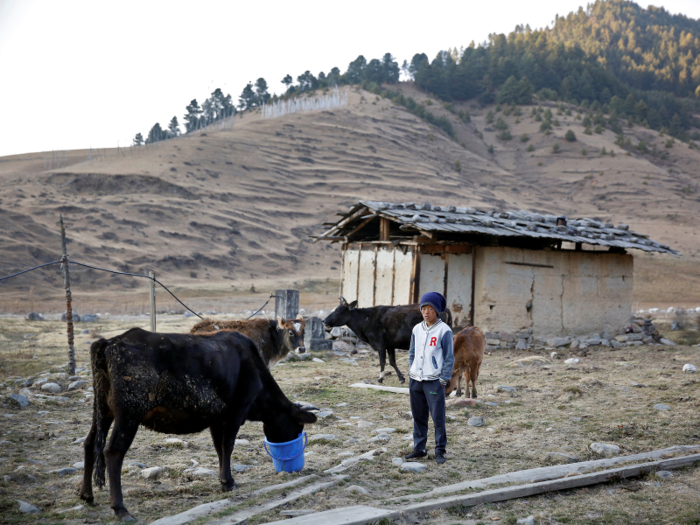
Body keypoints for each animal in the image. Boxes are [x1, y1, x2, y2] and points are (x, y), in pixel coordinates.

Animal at [79, 328, 318, 520]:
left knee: (90, 444)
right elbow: (228, 445)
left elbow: (219, 448)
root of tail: (108, 342)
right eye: (297, 427)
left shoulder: (217, 418)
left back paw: (87, 495)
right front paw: (229, 482)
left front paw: (224, 480)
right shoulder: (237, 410)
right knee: (113, 451)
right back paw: (120, 508)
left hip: (102, 410)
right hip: (129, 413)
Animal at [324, 296, 454, 382]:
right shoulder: (390, 345)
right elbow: (392, 361)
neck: (367, 319)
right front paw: (401, 378)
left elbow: (382, 361)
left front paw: (380, 378)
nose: (324, 320)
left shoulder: (380, 344)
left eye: (338, 310)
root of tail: (446, 308)